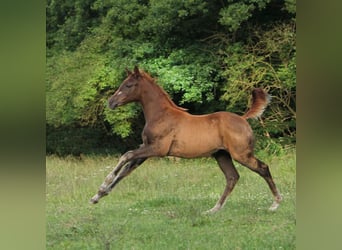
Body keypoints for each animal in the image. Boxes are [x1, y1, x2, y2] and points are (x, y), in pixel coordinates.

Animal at [90, 66, 280, 213]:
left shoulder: (157, 149)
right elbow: (126, 170)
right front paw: (97, 196)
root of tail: (242, 118)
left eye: (128, 85)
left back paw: (275, 203)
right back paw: (213, 209)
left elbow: (126, 156)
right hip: (222, 155)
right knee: (232, 177)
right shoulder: (146, 150)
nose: (111, 102)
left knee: (263, 168)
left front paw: (103, 186)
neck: (160, 115)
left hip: (241, 154)